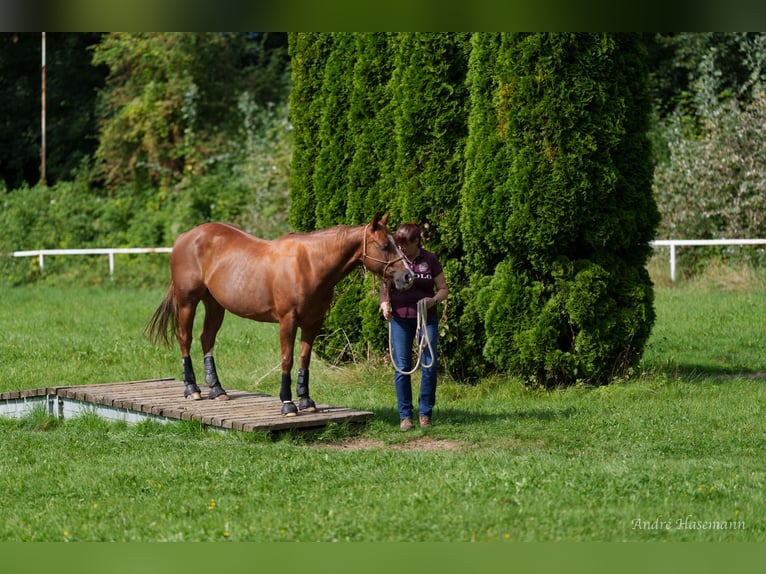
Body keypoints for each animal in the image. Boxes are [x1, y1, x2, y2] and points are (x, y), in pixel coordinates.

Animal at [148, 214, 416, 416]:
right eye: (385, 246)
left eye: (397, 244)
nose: (408, 277)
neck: (310, 265)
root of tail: (185, 237)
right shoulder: (288, 321)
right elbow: (287, 358)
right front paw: (287, 403)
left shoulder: (313, 323)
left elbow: (304, 359)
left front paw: (306, 401)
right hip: (187, 302)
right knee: (185, 338)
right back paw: (192, 388)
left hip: (215, 304)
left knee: (207, 339)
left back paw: (216, 389)